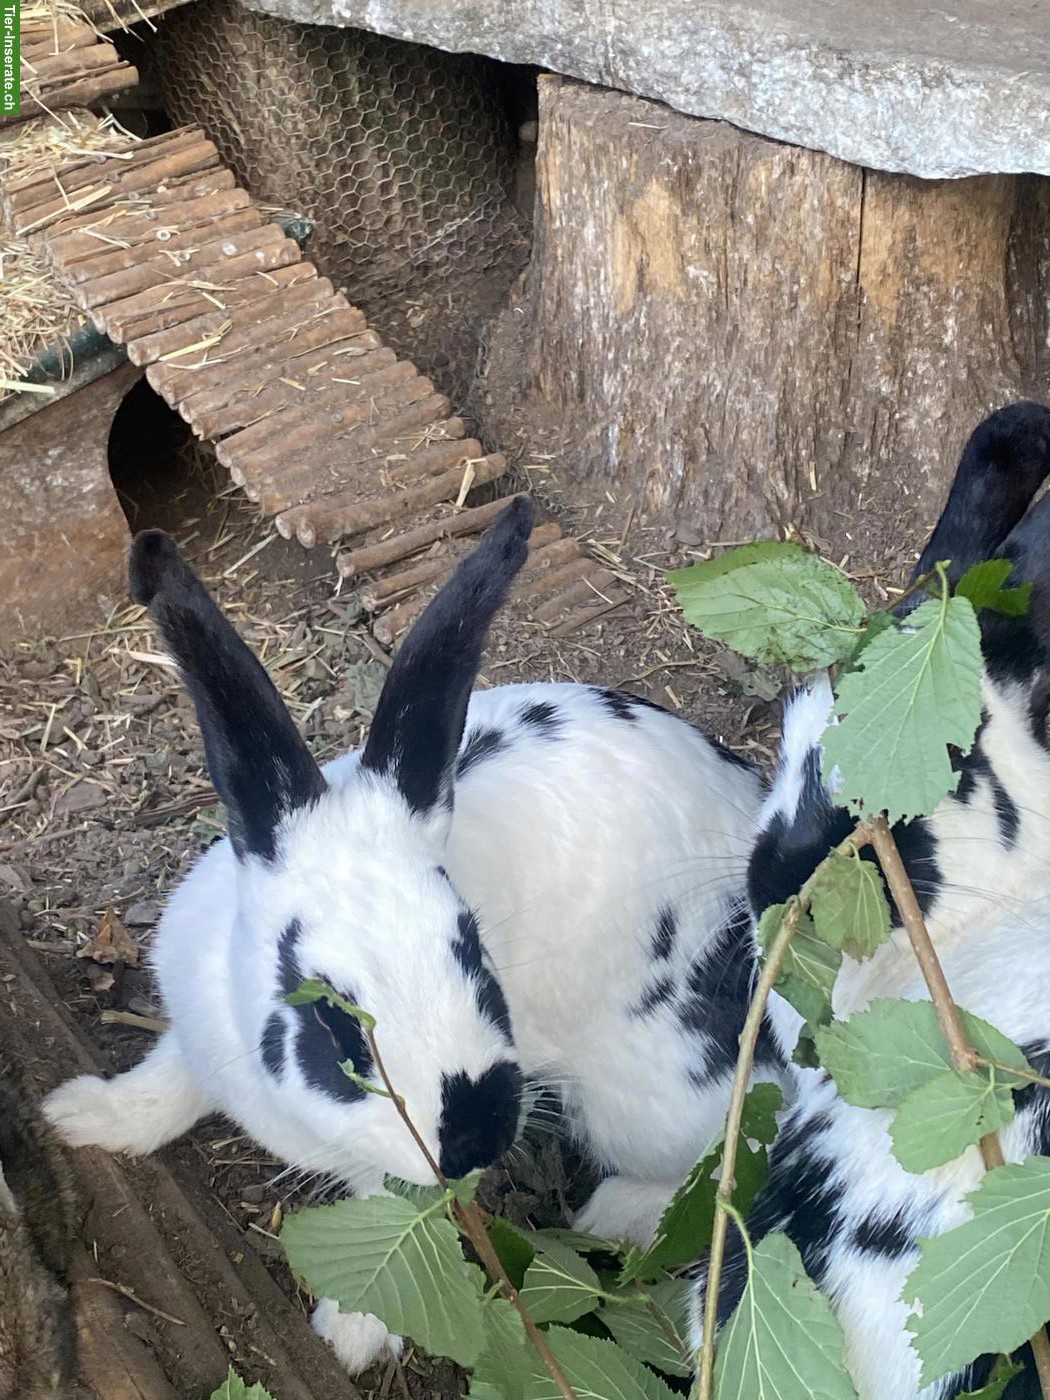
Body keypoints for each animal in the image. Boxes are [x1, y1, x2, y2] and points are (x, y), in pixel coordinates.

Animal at [43, 496, 779, 1374]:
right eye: (329, 1015)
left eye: (475, 957)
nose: (476, 1134)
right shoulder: (195, 1030)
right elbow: (163, 1084)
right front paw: (80, 1118)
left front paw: (350, 1334)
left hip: (651, 1099)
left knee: (731, 1160)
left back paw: (615, 1215)